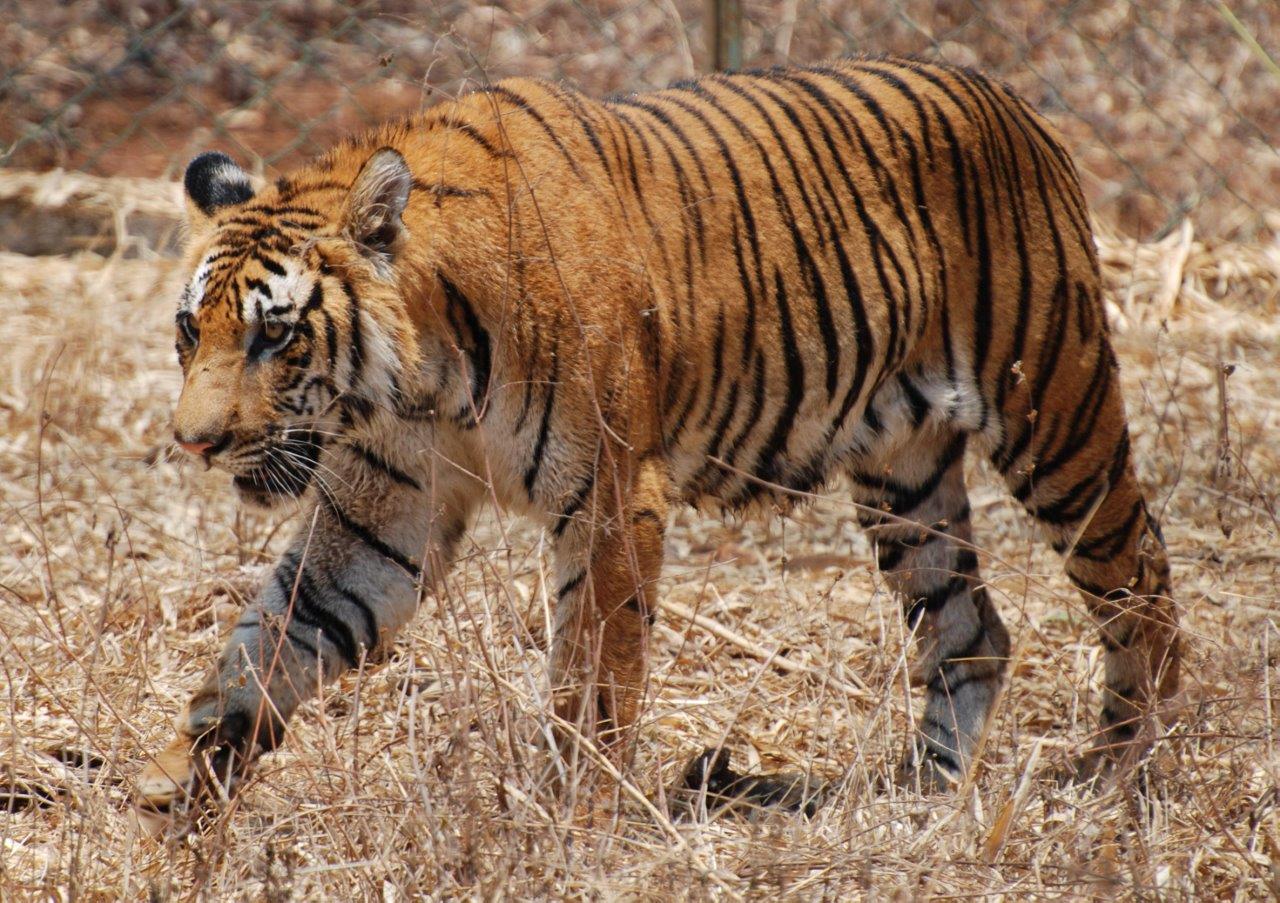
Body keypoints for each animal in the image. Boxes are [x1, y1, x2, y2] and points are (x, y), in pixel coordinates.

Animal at [135, 56, 1181, 824]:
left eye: (275, 335)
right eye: (192, 329)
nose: (194, 442)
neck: (420, 378)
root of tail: (1012, 102)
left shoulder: (607, 498)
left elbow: (592, 679)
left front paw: (569, 818)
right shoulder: (381, 510)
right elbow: (272, 640)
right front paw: (179, 789)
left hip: (1057, 415)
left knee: (1138, 575)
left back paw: (1131, 768)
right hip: (906, 477)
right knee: (971, 631)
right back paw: (919, 794)